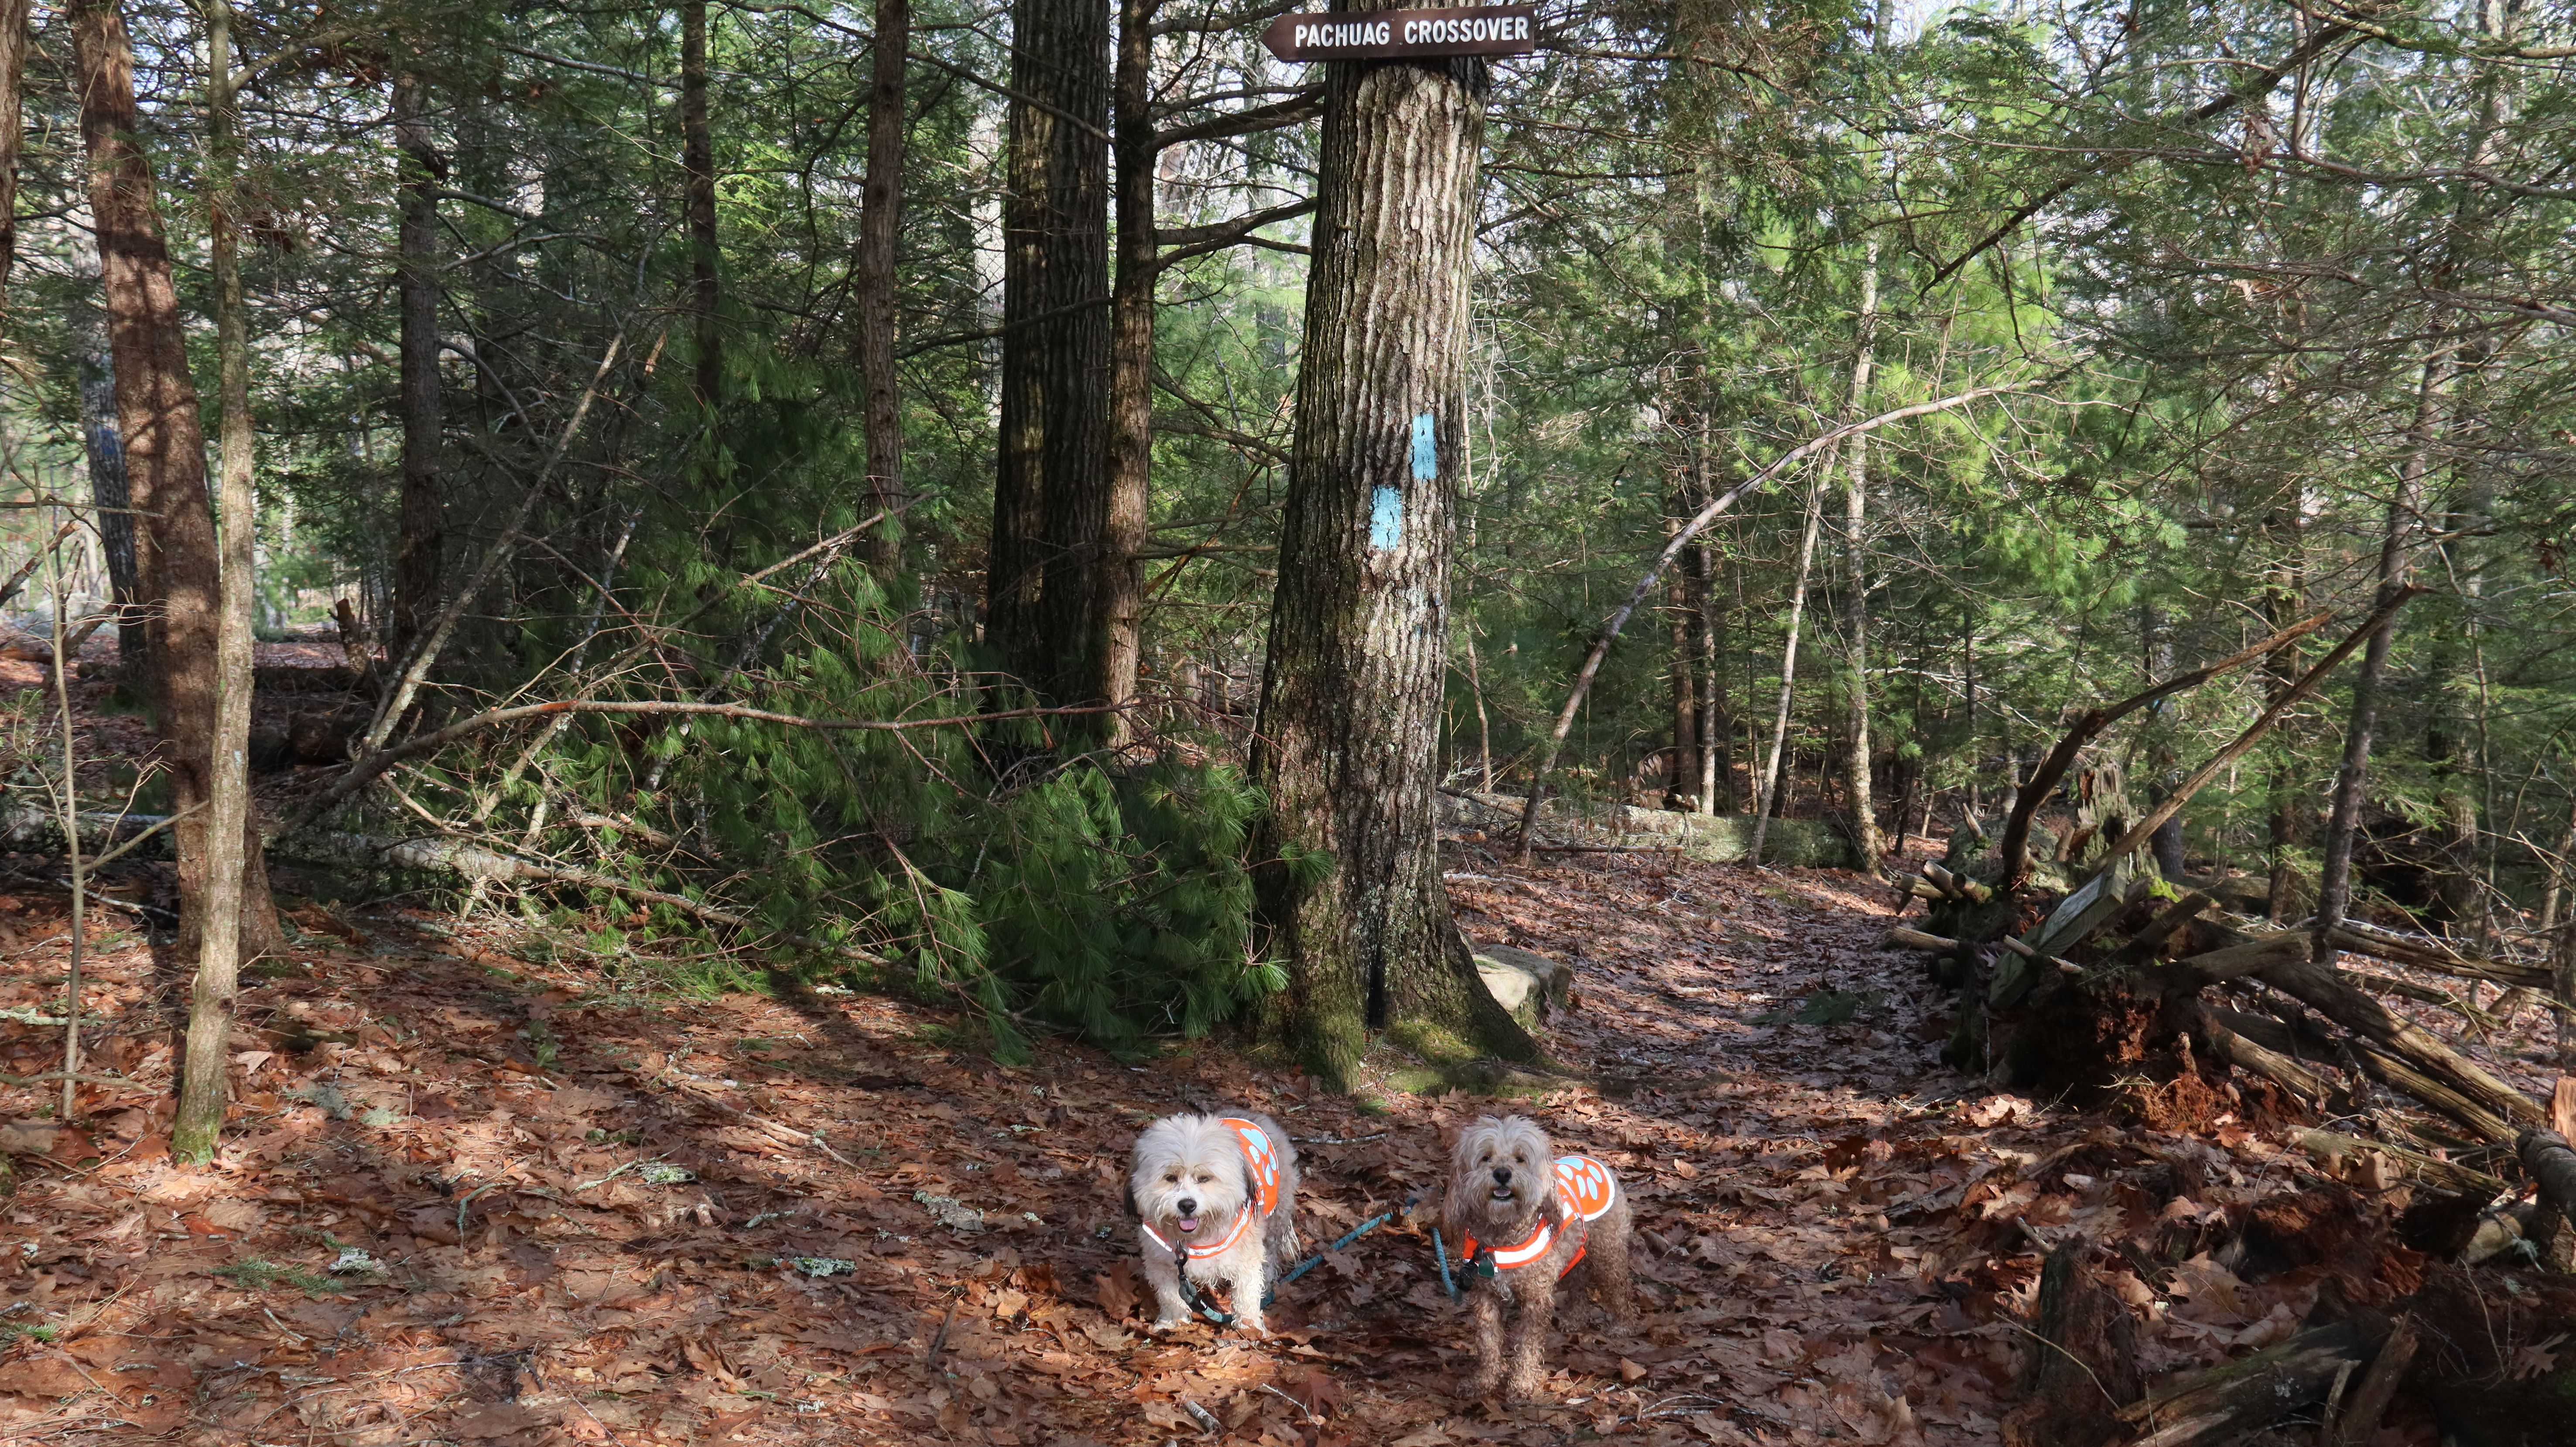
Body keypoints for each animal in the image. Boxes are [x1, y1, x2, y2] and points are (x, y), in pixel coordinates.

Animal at [1128, 1111, 1301, 1333]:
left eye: (1204, 1178)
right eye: (1170, 1177)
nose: (1187, 1205)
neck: (1197, 1238)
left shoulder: (1247, 1260)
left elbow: (1247, 1294)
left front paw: (1249, 1326)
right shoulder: (1162, 1264)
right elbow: (1170, 1296)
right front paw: (1173, 1322)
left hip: (1276, 1216)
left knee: (1270, 1255)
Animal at [1443, 1114, 1635, 1400]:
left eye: (1520, 1159)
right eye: (1486, 1157)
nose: (1502, 1173)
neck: (1503, 1236)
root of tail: (1594, 1159)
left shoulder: (1535, 1299)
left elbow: (1528, 1346)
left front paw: (1522, 1385)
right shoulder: (1484, 1296)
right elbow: (1488, 1343)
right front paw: (1483, 1381)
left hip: (1607, 1251)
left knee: (1619, 1287)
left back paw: (1623, 1325)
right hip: (1574, 1252)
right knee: (1579, 1282)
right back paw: (1575, 1318)